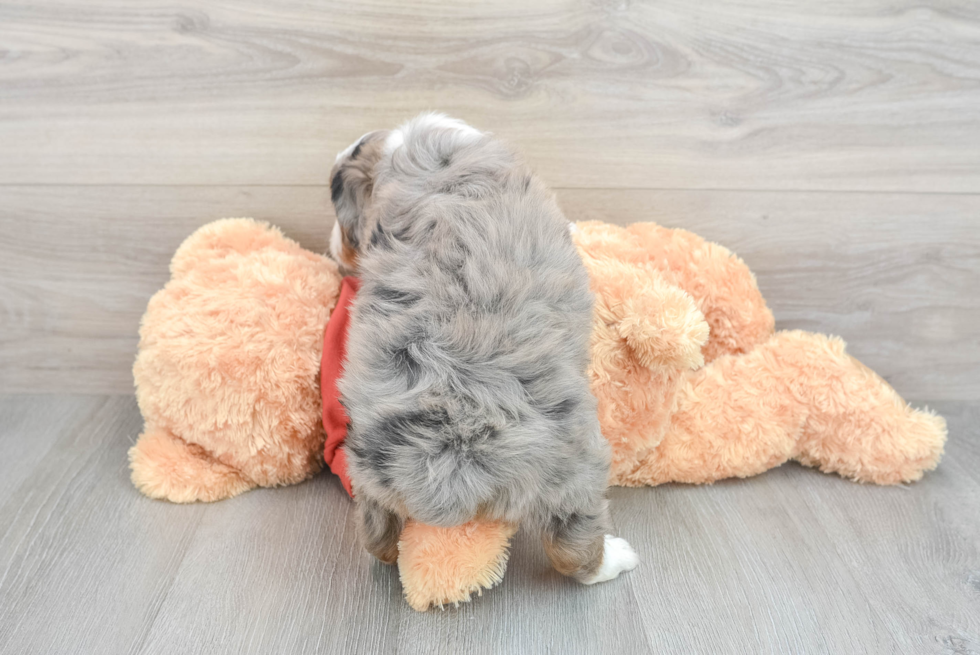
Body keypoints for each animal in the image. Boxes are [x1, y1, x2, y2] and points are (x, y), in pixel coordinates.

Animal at [326, 114, 640, 584]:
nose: (332, 248)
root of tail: (451, 457)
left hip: (368, 478)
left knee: (377, 539)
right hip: (576, 467)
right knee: (572, 549)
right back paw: (615, 559)